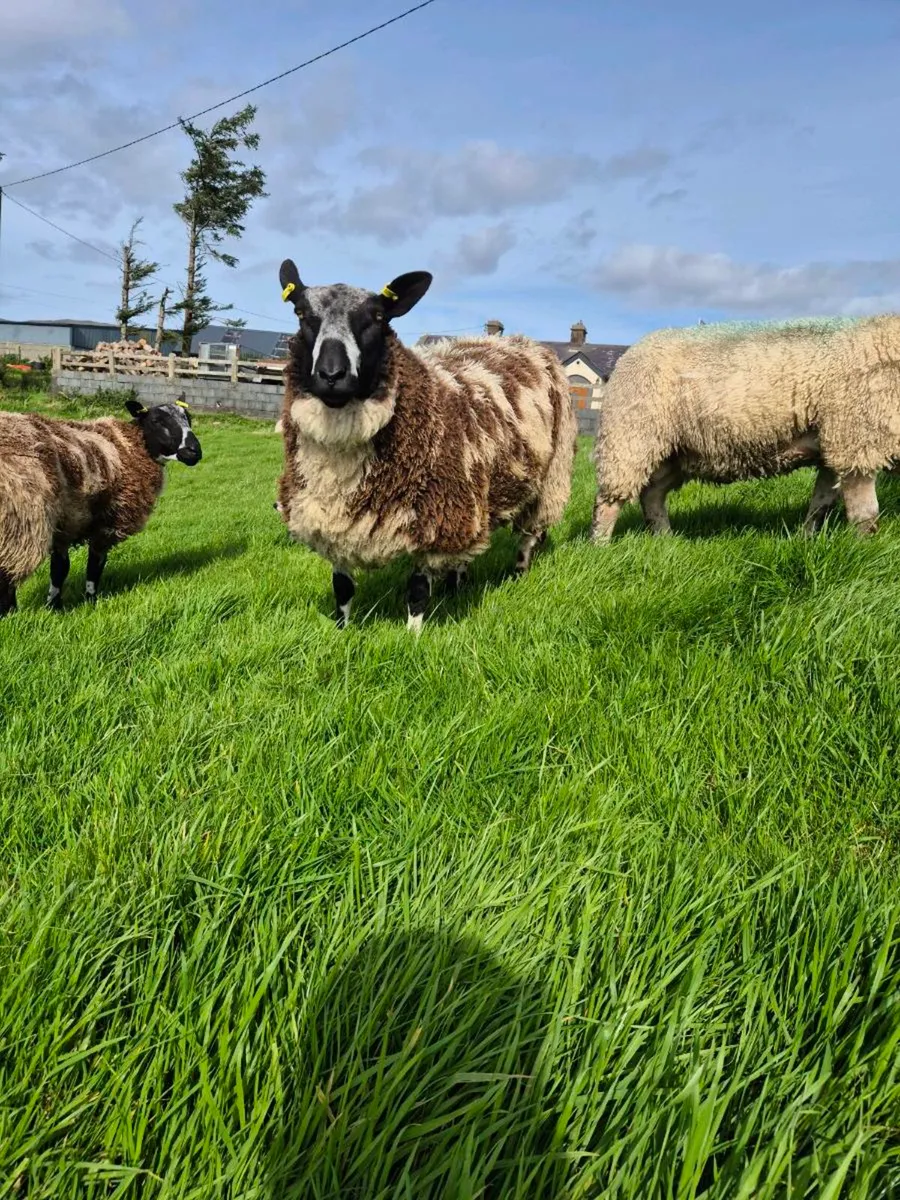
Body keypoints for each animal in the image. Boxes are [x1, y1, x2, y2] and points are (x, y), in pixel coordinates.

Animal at [0, 399, 201, 614]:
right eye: (156, 420)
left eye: (189, 419)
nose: (194, 451)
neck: (131, 445)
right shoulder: (108, 523)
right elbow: (95, 565)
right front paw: (90, 600)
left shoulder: (66, 524)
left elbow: (59, 569)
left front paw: (54, 607)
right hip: (21, 522)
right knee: (7, 574)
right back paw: (10, 612)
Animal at [275, 259, 577, 631]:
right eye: (301, 313)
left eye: (378, 316)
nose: (332, 375)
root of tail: (524, 342)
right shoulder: (332, 521)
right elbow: (342, 587)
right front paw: (341, 630)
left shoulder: (435, 516)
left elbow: (417, 591)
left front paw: (412, 636)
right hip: (475, 496)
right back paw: (456, 585)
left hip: (547, 481)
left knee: (528, 536)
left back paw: (518, 573)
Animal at [590, 314, 900, 542]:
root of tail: (631, 352)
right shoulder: (858, 440)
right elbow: (865, 512)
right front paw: (864, 548)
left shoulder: (835, 447)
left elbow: (820, 504)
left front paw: (806, 540)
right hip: (631, 436)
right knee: (609, 500)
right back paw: (600, 545)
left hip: (675, 451)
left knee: (652, 494)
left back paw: (665, 539)